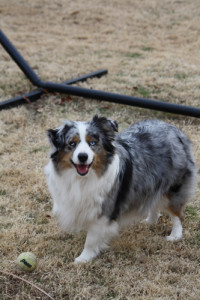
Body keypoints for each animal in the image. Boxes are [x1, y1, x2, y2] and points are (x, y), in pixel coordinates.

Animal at [44, 116, 196, 262]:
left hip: (174, 188)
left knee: (177, 214)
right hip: (151, 184)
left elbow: (91, 239)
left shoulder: (105, 210)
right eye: (72, 143)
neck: (83, 179)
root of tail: (175, 130)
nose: (83, 157)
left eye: (92, 143)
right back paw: (150, 221)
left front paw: (84, 258)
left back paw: (175, 235)